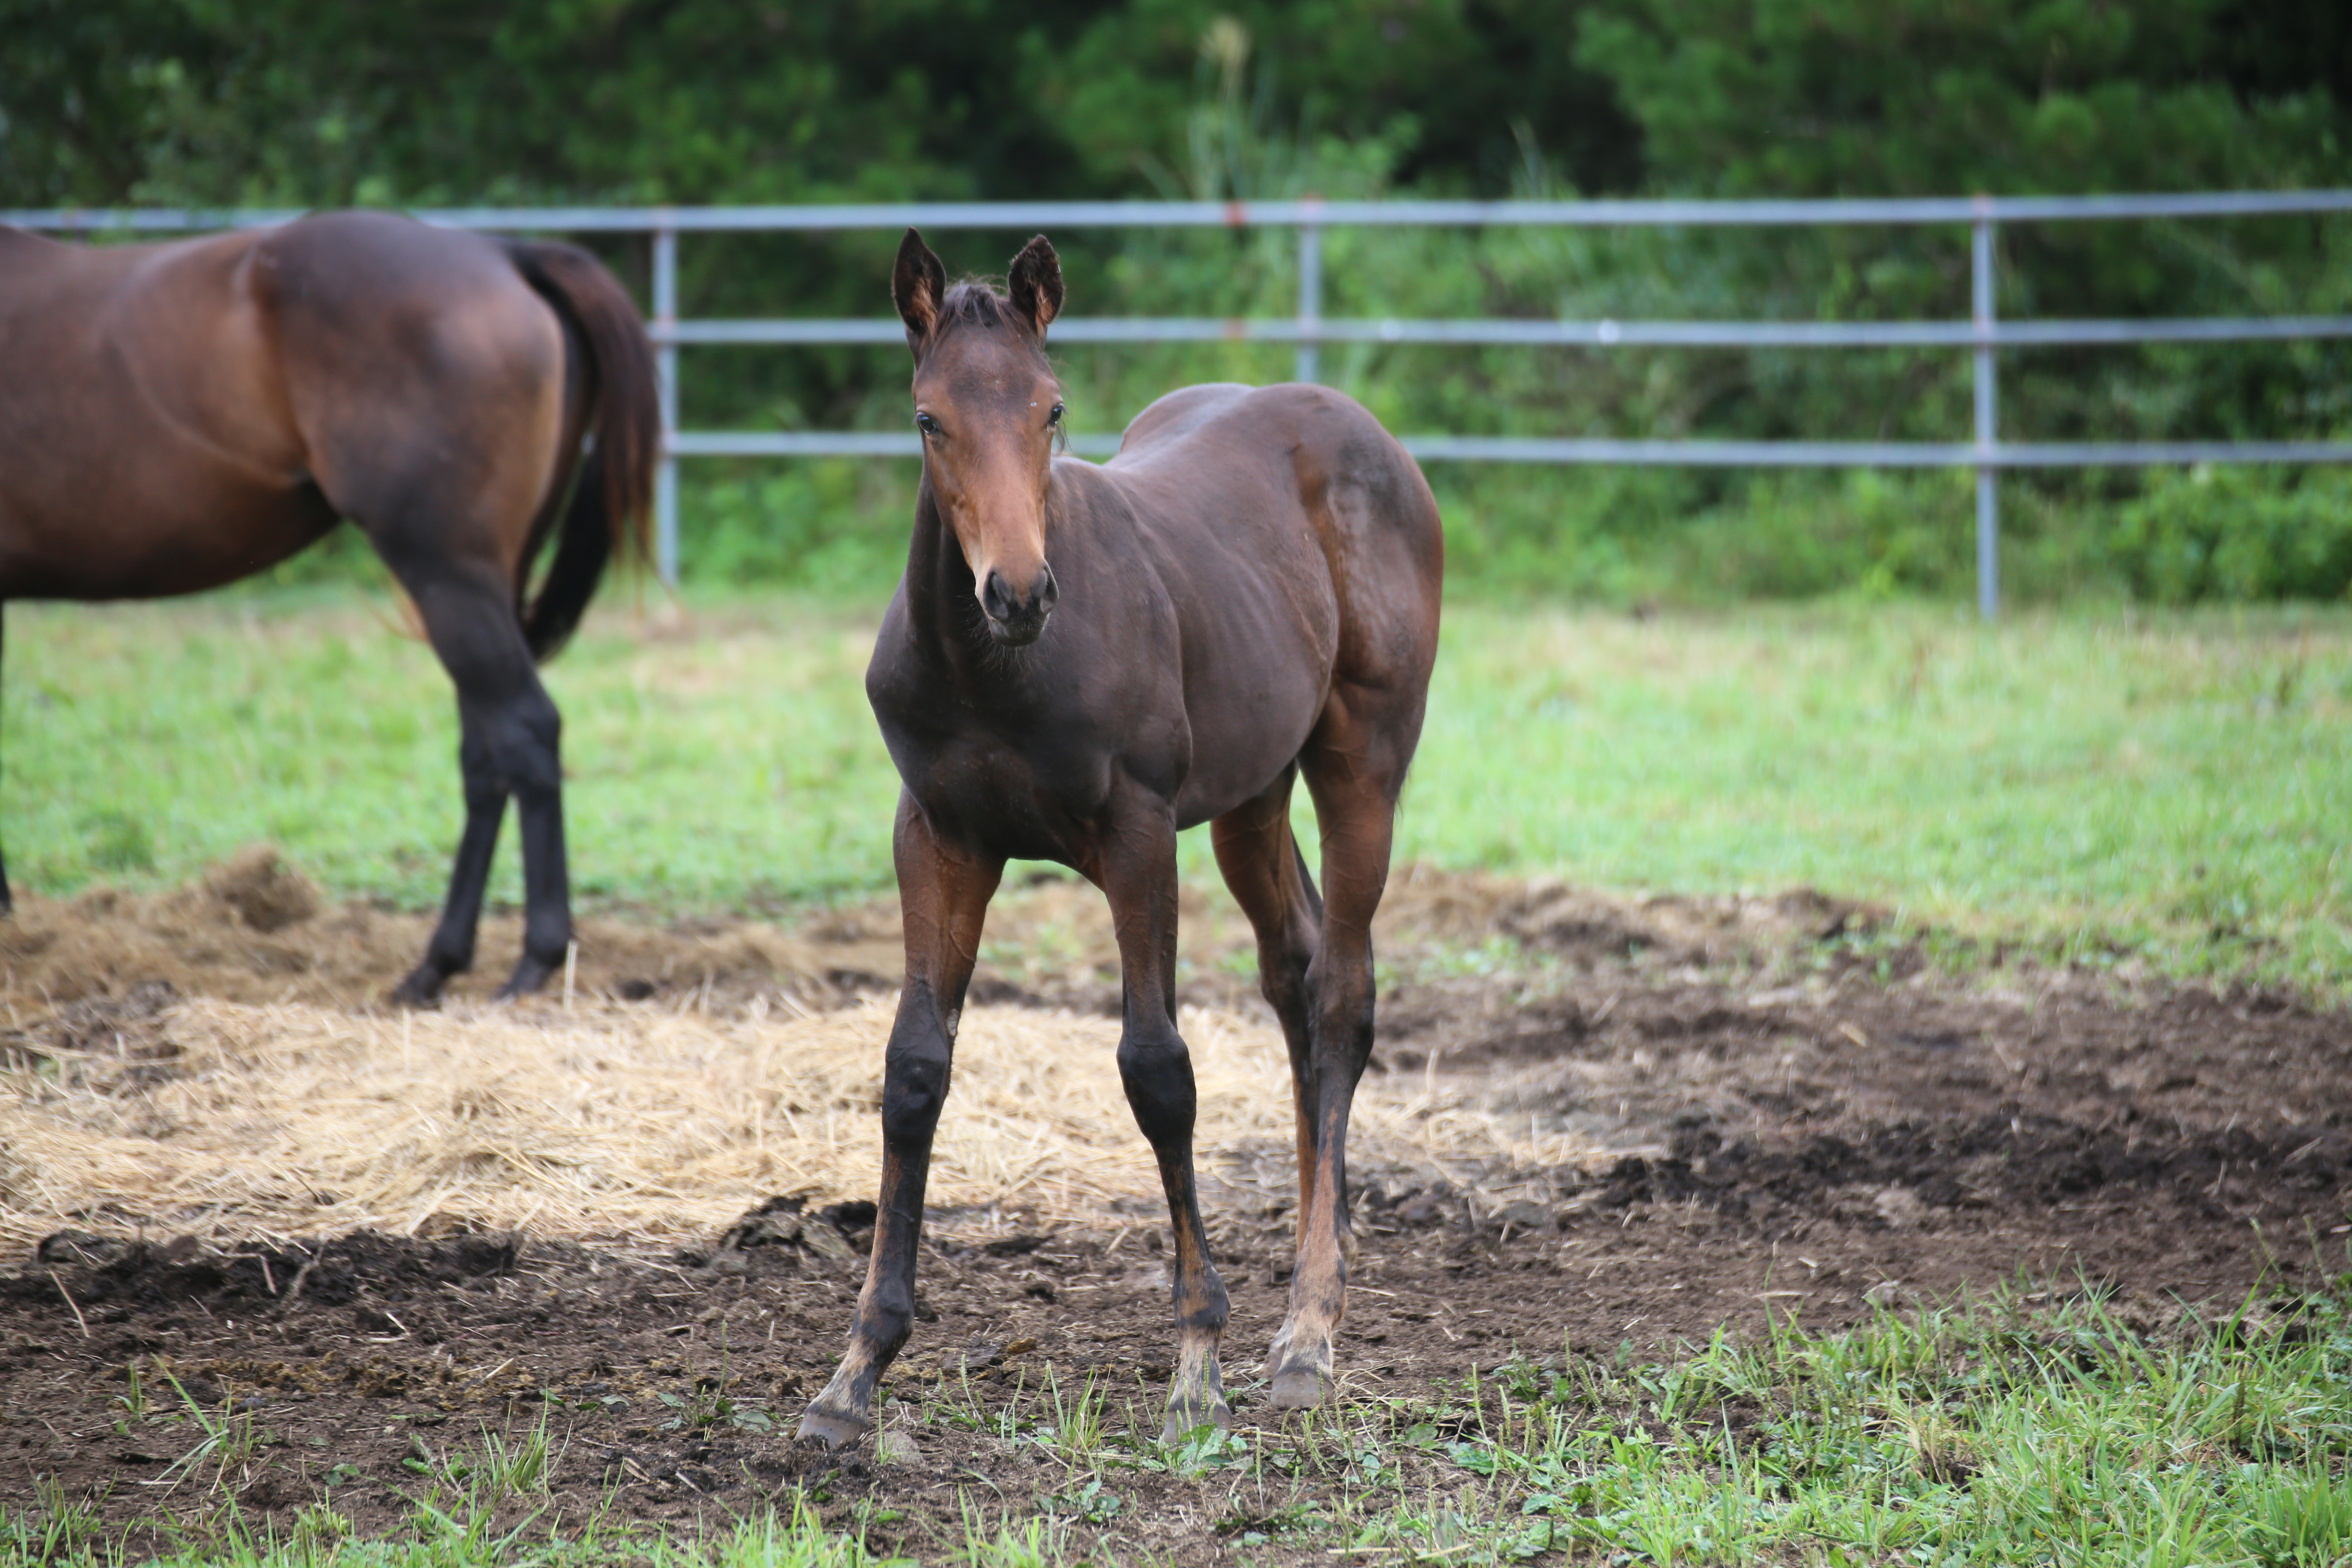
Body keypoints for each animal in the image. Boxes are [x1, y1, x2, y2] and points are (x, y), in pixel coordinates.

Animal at [0, 208, 658, 1006]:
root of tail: (505, 253)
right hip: (487, 579)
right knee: (486, 751)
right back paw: (436, 965)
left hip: (446, 572)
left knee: (524, 731)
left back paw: (535, 958)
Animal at [800, 232, 1439, 1448]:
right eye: (927, 418)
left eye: (1049, 408)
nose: (1016, 591)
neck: (997, 673)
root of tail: (1367, 433)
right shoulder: (939, 836)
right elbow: (913, 1068)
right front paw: (854, 1371)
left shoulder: (1138, 835)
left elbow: (1157, 1069)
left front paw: (1197, 1359)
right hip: (1250, 795)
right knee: (1296, 972)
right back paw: (1314, 1252)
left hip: (1362, 764)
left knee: (1343, 992)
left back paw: (1308, 1329)